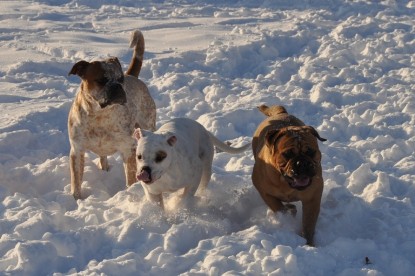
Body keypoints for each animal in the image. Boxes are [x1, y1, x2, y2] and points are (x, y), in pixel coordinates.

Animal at [68, 29, 156, 198]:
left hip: (148, 125)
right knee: (103, 157)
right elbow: (76, 180)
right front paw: (76, 199)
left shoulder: (128, 149)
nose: (117, 86)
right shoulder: (77, 149)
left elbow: (130, 178)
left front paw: (130, 192)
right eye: (102, 79)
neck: (99, 116)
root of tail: (132, 76)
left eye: (120, 78)